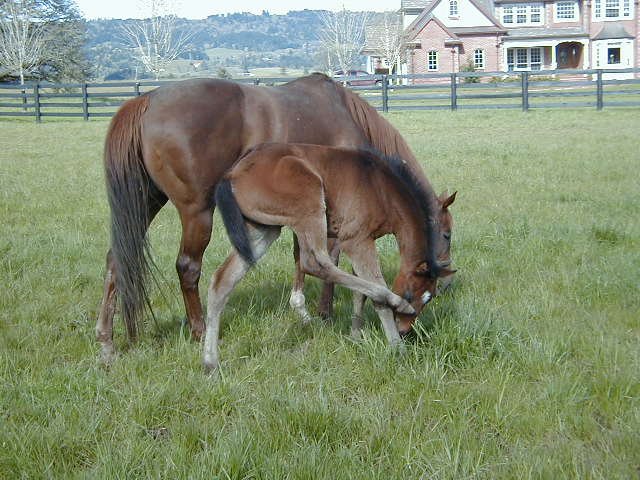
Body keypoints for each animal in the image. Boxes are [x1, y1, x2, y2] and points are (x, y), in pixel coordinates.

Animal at [203, 143, 455, 371]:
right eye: (412, 294)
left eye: (429, 299)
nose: (404, 331)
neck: (382, 188)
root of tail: (232, 173)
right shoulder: (356, 239)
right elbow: (375, 289)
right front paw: (397, 348)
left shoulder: (363, 242)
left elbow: (360, 293)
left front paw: (356, 335)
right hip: (309, 201)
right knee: (313, 262)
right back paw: (393, 301)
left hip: (262, 228)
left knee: (222, 280)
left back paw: (210, 363)